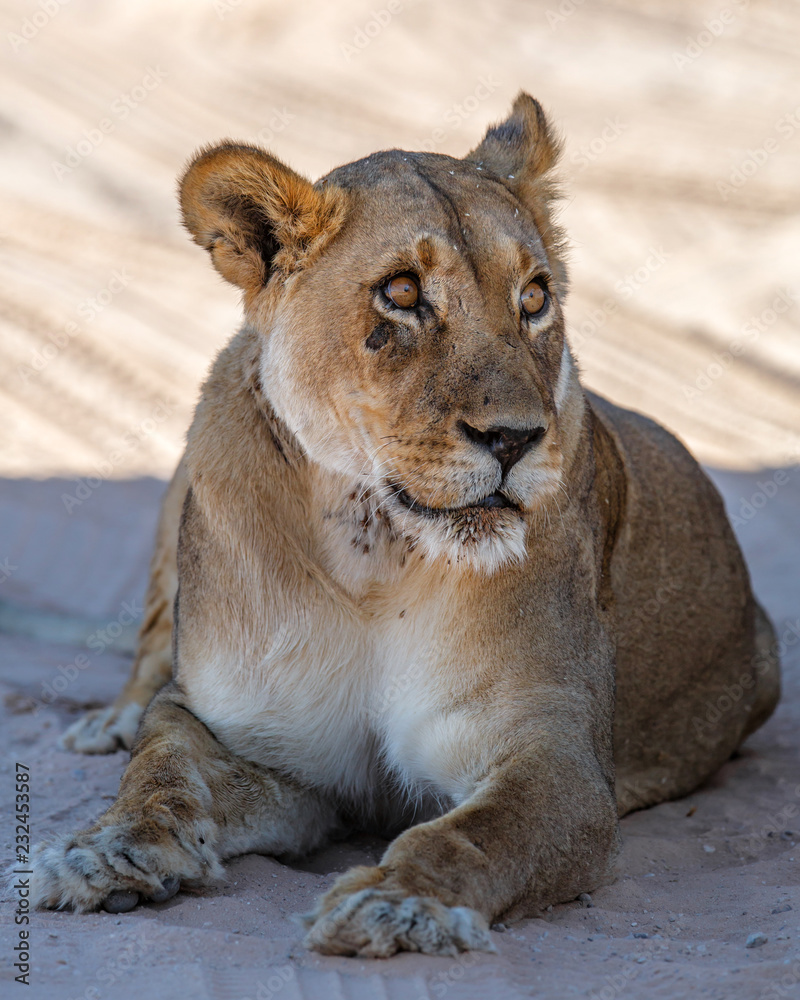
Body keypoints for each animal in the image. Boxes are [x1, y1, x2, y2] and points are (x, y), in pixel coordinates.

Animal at [34, 93, 779, 958]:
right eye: (401, 291)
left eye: (535, 297)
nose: (515, 439)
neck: (375, 556)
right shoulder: (247, 736)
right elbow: (160, 768)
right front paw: (105, 852)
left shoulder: (555, 757)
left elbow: (478, 834)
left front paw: (395, 901)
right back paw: (112, 719)